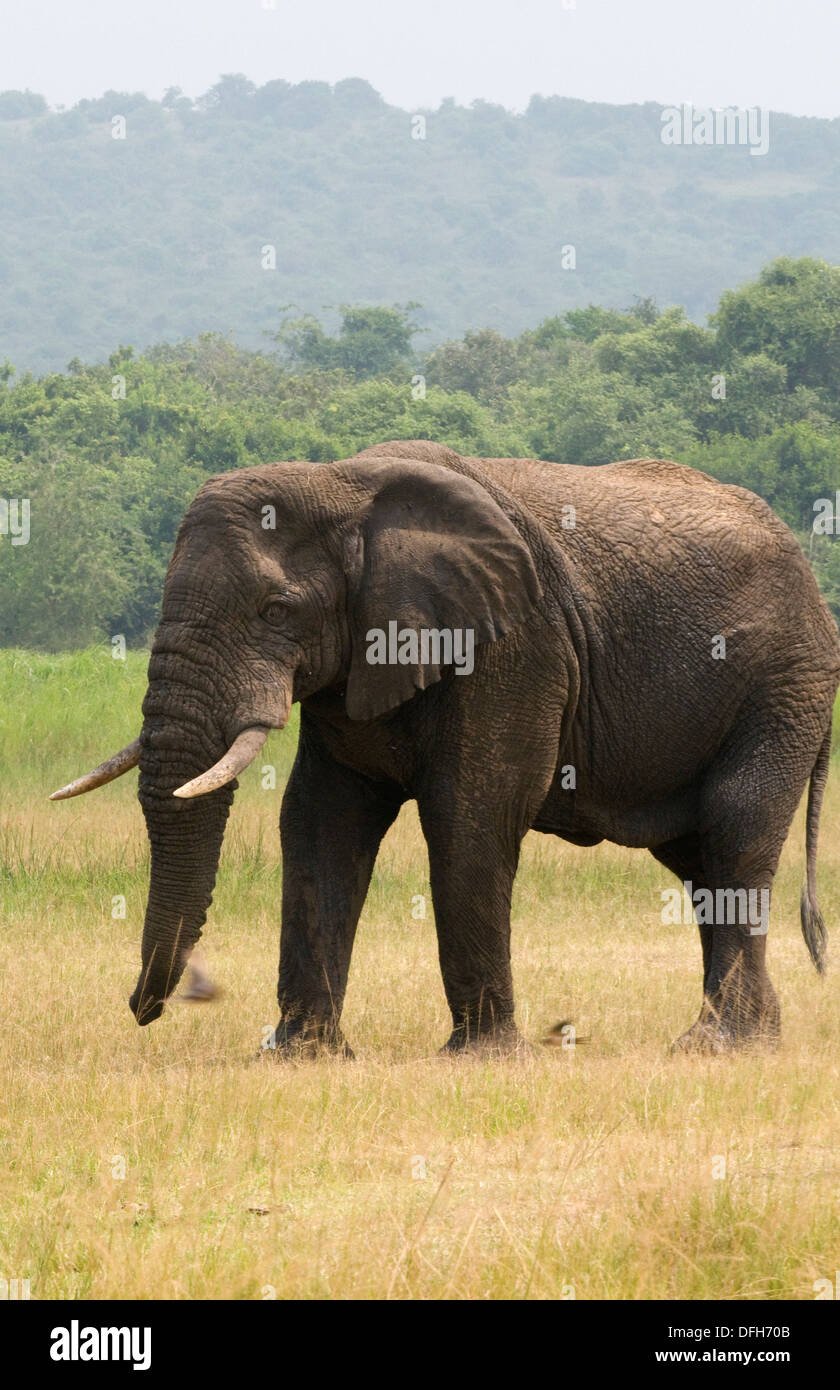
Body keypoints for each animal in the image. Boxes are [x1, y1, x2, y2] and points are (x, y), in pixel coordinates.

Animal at [50, 439, 840, 1045]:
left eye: (277, 609)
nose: (156, 1004)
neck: (342, 481)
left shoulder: (512, 648)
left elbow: (472, 815)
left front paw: (484, 1056)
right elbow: (319, 820)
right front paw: (301, 1055)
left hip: (784, 683)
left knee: (734, 829)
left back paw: (717, 1045)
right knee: (696, 857)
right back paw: (747, 1037)